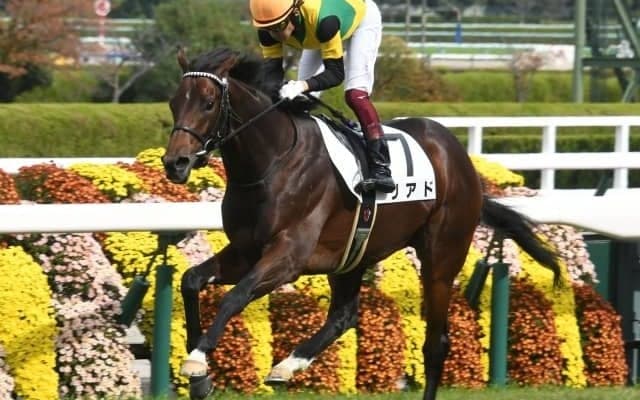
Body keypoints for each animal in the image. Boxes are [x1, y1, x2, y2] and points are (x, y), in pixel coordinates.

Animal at [161, 47, 561, 400]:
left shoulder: (288, 256)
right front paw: (199, 374)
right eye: (174, 103)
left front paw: (197, 359)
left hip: (441, 257)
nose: (175, 163)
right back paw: (288, 365)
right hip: (353, 253)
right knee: (344, 315)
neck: (271, 162)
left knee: (435, 343)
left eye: (208, 103)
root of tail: (461, 159)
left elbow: (235, 296)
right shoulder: (246, 250)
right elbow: (191, 280)